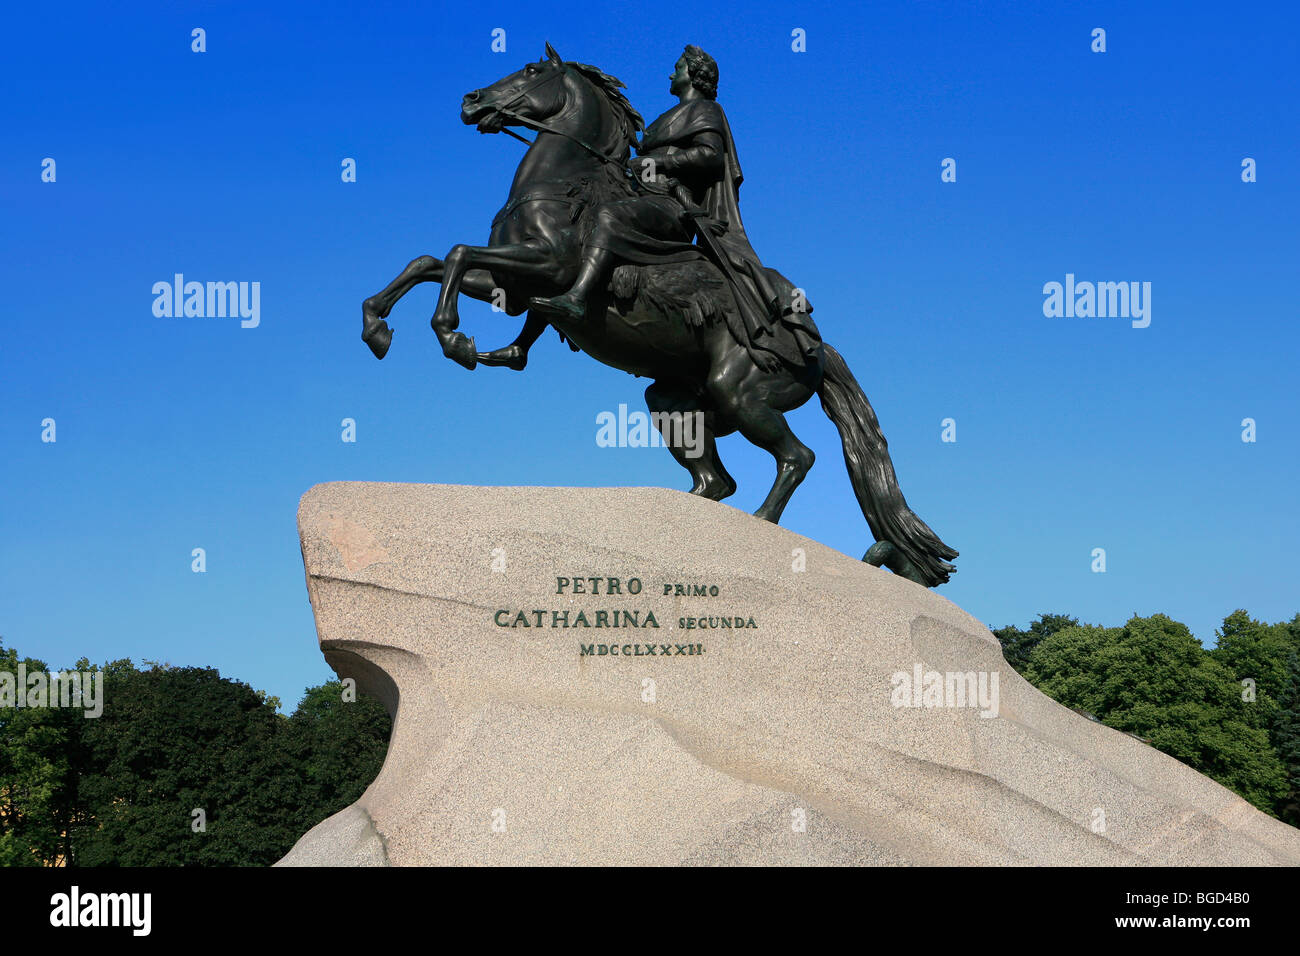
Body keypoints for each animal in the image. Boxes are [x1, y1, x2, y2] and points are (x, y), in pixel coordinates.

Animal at [356, 44, 956, 587]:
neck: (564, 184)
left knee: (797, 457)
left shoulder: (545, 267)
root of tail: (817, 346)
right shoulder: (514, 286)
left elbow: (456, 254)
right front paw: (377, 327)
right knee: (715, 481)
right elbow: (430, 262)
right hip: (675, 400)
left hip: (741, 393)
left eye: (529, 69)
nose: (471, 100)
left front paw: (452, 337)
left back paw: (762, 522)